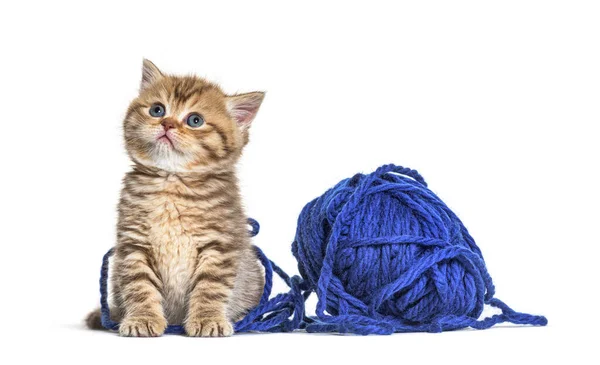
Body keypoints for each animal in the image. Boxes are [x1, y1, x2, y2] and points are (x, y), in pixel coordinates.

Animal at [85, 59, 264, 336]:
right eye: (157, 110)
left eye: (195, 120)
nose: (167, 124)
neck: (172, 183)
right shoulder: (134, 244)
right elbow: (139, 285)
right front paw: (142, 319)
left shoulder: (219, 245)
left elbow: (210, 287)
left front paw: (208, 319)